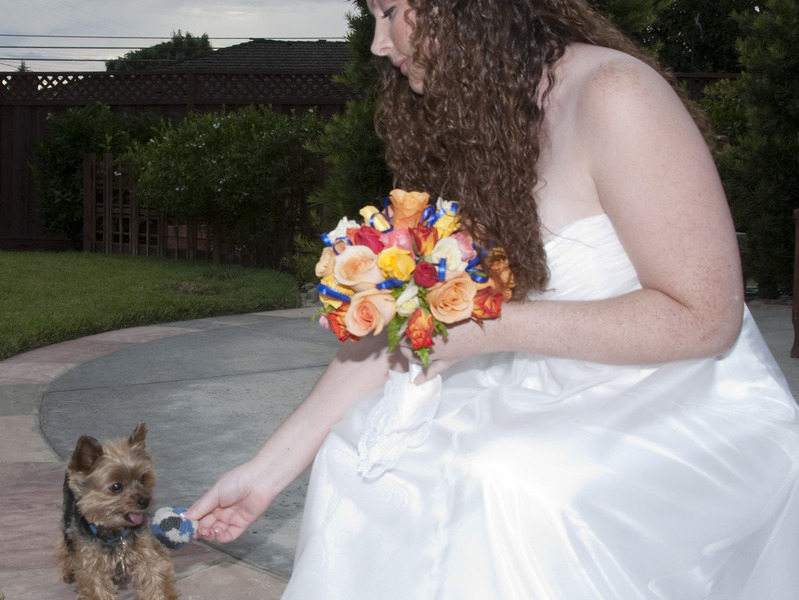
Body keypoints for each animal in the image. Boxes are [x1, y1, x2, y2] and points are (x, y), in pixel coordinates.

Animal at [56, 422, 180, 600]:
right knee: (65, 546)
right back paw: (69, 570)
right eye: (116, 487)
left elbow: (156, 576)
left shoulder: (147, 551)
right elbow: (96, 587)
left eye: (143, 478)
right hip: (68, 524)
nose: (145, 501)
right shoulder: (91, 565)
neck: (115, 532)